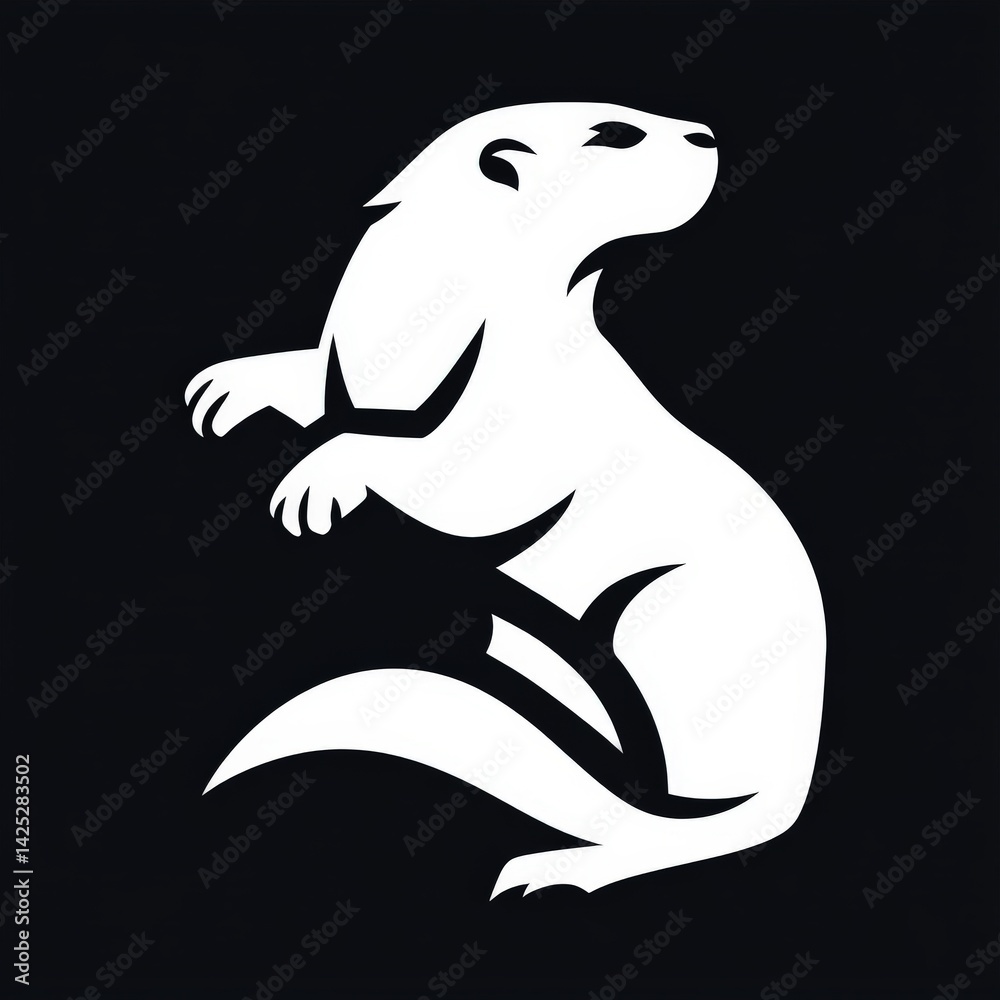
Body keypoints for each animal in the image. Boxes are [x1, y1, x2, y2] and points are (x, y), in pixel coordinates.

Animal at [187, 102, 826, 897]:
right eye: (614, 132)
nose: (707, 134)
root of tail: (792, 776)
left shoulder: (525, 415)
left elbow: (459, 475)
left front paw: (320, 476)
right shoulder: (352, 358)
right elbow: (317, 382)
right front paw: (231, 385)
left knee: (698, 828)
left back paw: (566, 864)